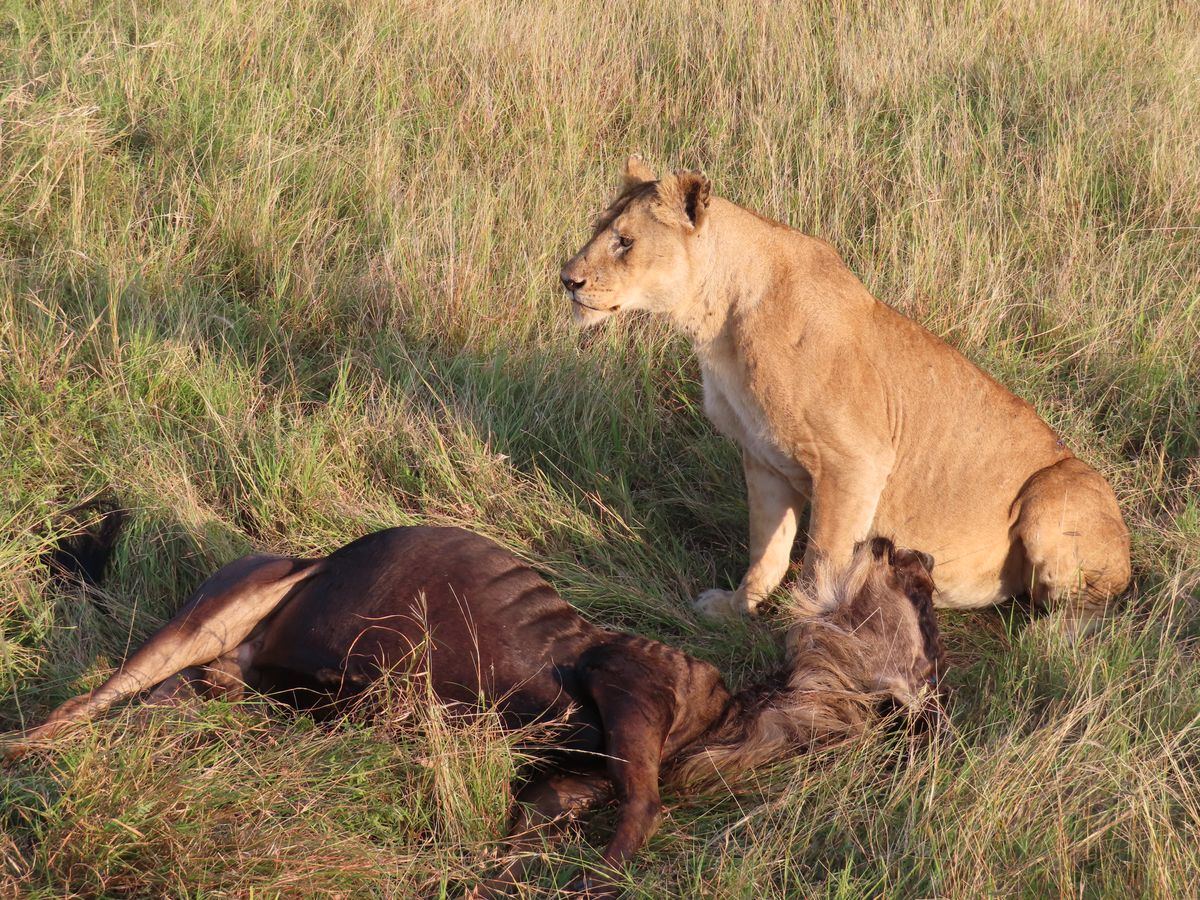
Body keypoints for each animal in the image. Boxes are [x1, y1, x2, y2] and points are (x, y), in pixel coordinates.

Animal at [559, 156, 1131, 633]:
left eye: (625, 241)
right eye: (597, 230)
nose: (567, 279)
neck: (715, 322)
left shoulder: (853, 464)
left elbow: (821, 563)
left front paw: (810, 637)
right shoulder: (764, 461)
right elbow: (767, 551)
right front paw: (736, 609)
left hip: (1052, 495)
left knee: (1095, 608)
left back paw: (1049, 633)